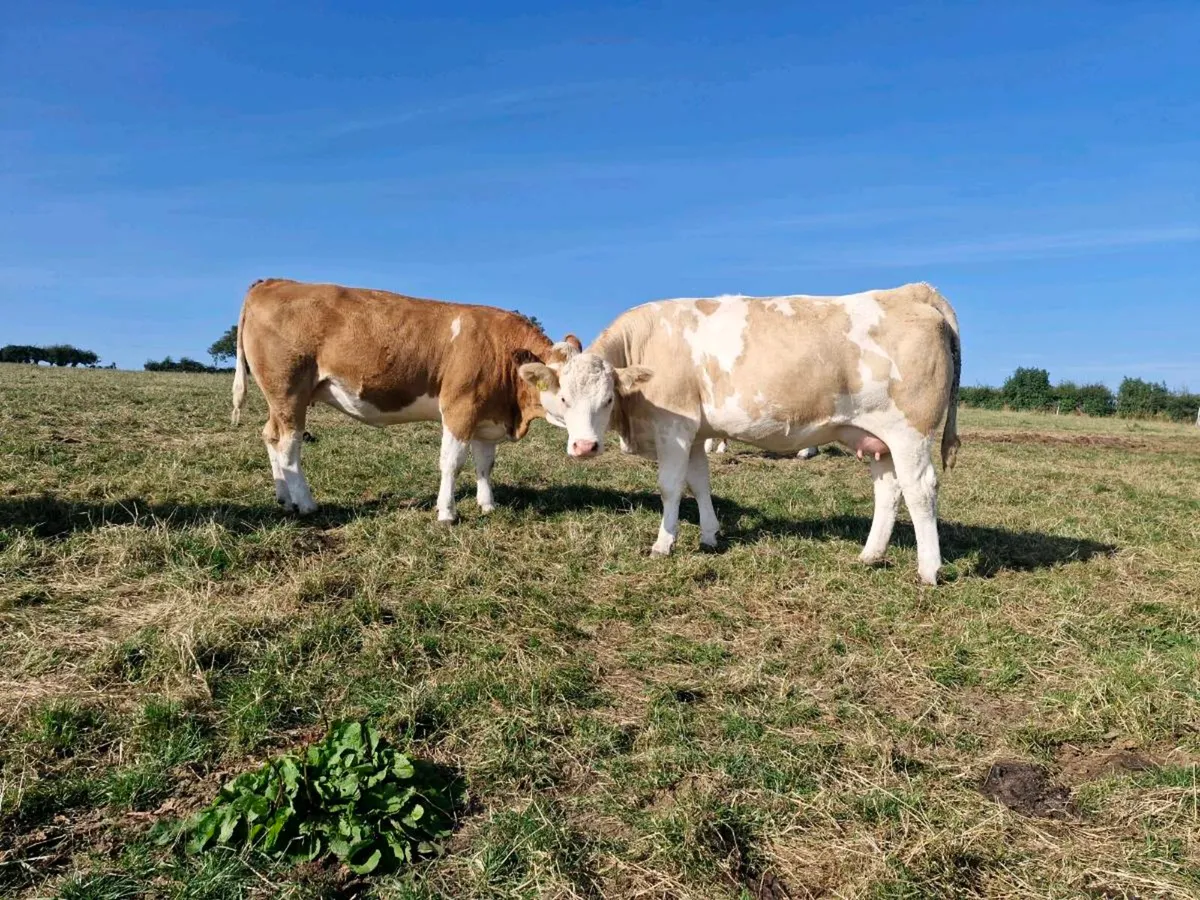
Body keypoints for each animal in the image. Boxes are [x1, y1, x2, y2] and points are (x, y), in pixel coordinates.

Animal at [231, 278, 580, 522]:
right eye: (563, 396)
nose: (586, 444)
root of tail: (272, 282)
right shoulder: (460, 409)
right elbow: (452, 462)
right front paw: (447, 513)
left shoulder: (486, 416)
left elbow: (484, 464)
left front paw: (488, 504)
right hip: (288, 393)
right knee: (288, 447)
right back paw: (306, 504)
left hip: (279, 399)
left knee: (270, 436)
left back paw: (285, 499)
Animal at [517, 283, 961, 584]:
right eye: (563, 398)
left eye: (608, 399)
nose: (584, 446)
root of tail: (913, 291)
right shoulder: (696, 433)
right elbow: (700, 483)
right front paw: (710, 535)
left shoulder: (674, 427)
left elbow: (671, 487)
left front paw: (664, 543)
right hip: (876, 439)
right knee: (889, 489)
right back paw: (870, 554)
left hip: (909, 432)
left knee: (920, 490)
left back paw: (929, 569)